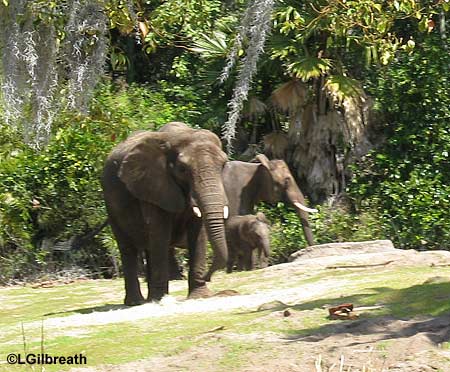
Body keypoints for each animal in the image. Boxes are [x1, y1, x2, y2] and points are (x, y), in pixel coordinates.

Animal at [101, 122, 229, 306]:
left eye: (224, 165)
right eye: (182, 169)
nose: (207, 277)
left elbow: (198, 234)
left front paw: (200, 296)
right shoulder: (153, 186)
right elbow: (160, 234)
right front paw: (161, 299)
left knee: (148, 247)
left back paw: (149, 300)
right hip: (110, 205)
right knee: (128, 249)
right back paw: (137, 302)